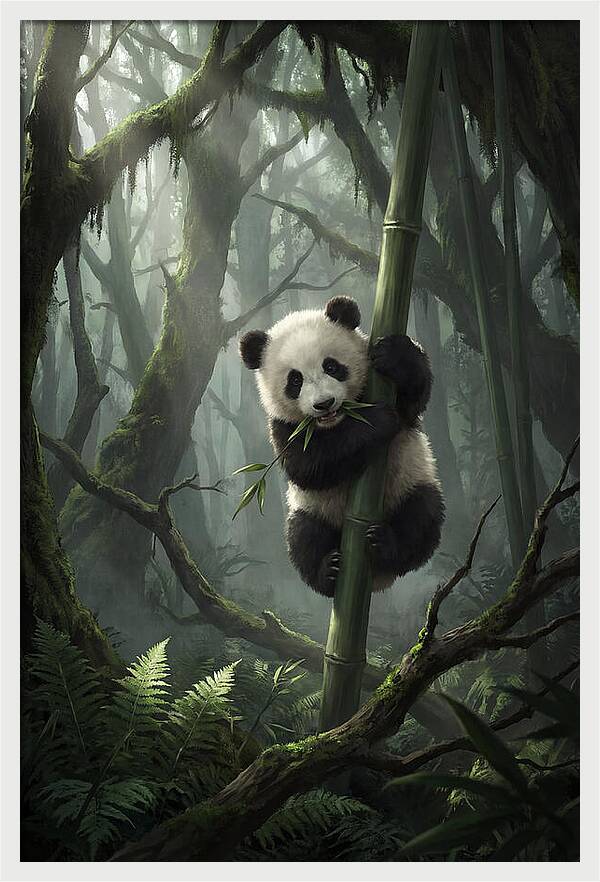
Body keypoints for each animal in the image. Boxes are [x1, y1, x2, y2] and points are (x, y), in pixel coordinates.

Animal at [239, 295, 444, 597]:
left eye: (331, 366)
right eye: (295, 380)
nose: (324, 404)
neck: (338, 422)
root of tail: (377, 580)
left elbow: (413, 399)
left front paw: (394, 355)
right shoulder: (283, 426)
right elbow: (308, 466)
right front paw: (377, 420)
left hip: (410, 482)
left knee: (421, 516)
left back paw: (386, 545)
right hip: (312, 509)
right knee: (303, 536)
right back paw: (328, 571)